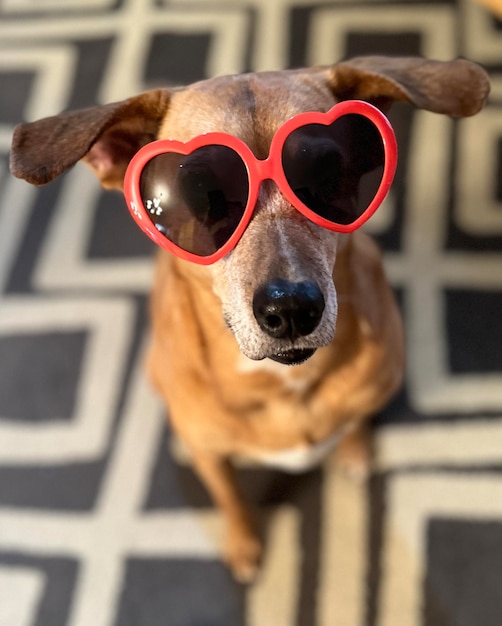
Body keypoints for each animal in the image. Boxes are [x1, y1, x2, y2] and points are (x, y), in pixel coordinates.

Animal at [10, 54, 490, 580]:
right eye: (198, 195)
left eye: (327, 176)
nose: (291, 307)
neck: (284, 387)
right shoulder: (210, 456)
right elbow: (230, 498)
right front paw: (243, 544)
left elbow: (356, 421)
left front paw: (356, 446)